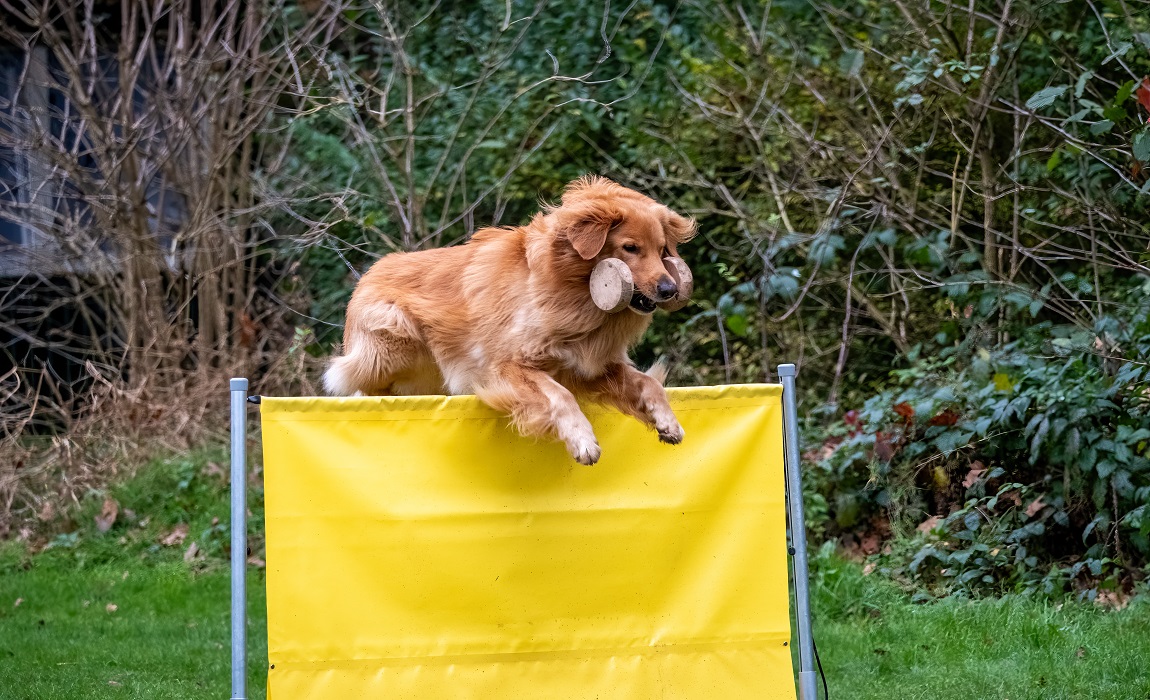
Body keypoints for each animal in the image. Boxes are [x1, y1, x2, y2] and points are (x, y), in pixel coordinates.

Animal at [328, 175, 694, 464]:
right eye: (630, 248)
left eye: (662, 249)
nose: (669, 289)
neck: (572, 293)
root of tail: (368, 275)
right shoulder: (507, 365)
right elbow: (559, 395)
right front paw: (582, 440)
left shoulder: (589, 366)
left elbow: (647, 383)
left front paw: (667, 422)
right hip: (390, 342)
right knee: (357, 384)